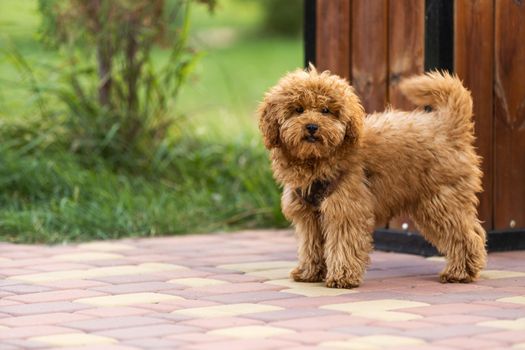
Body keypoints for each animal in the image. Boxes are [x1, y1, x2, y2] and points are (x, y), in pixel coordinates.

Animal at [258, 67, 488, 288]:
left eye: (325, 110)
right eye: (298, 109)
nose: (312, 127)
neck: (318, 160)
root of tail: (448, 127)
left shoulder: (345, 209)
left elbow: (343, 243)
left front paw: (342, 276)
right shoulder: (308, 215)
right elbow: (310, 245)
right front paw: (309, 272)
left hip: (441, 201)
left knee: (467, 236)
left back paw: (460, 272)